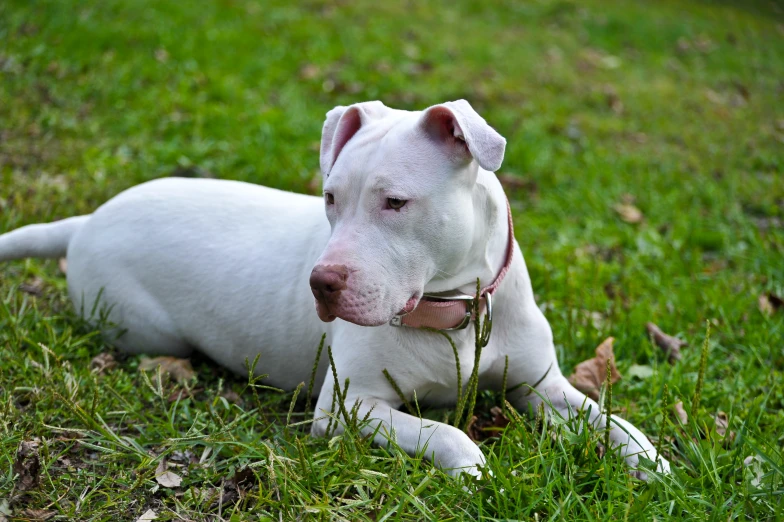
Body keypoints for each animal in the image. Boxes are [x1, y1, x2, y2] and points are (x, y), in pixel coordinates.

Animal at [1, 99, 668, 478]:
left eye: (395, 203)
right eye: (329, 198)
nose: (320, 284)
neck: (452, 311)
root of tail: (86, 220)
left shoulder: (543, 386)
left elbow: (609, 418)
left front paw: (654, 462)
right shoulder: (352, 407)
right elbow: (442, 430)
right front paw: (471, 467)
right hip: (141, 327)